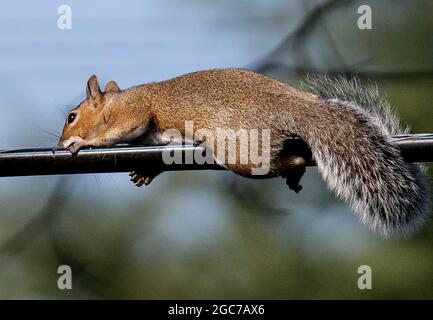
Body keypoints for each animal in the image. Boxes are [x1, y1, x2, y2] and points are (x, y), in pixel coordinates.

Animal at [57, 68, 428, 238]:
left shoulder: (134, 113)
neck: (115, 102)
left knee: (279, 160)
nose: (60, 141)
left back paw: (293, 168)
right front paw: (146, 172)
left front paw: (83, 143)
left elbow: (118, 131)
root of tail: (295, 106)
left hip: (240, 151)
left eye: (71, 116)